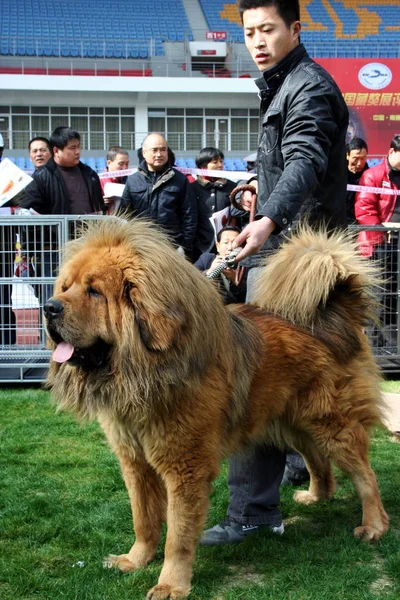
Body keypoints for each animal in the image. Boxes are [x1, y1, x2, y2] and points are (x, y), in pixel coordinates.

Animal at [43, 218, 388, 596]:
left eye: (93, 292)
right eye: (66, 287)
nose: (49, 307)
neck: (144, 373)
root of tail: (333, 317)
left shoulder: (185, 467)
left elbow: (177, 537)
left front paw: (170, 584)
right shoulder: (135, 463)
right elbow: (143, 520)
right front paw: (135, 560)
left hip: (333, 425)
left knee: (366, 476)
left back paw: (374, 525)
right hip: (292, 424)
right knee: (318, 461)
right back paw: (317, 495)